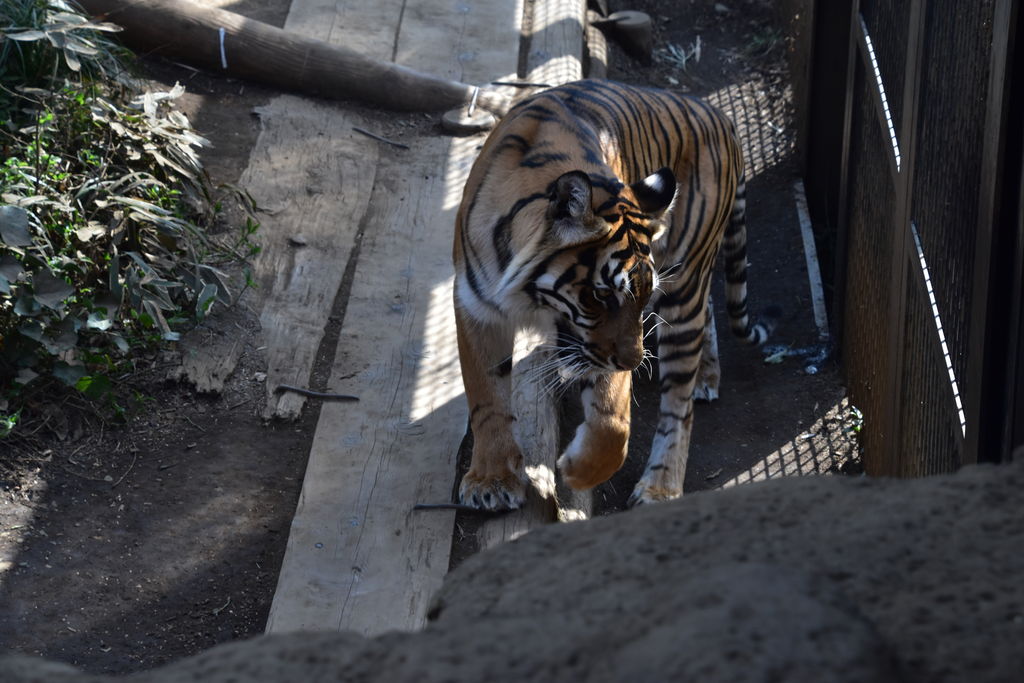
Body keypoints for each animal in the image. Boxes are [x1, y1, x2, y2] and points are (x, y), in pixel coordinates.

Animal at [452, 78, 770, 511]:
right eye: (598, 297)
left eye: (642, 297)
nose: (635, 361)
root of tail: (718, 113)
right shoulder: (476, 307)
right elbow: (486, 398)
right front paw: (492, 480)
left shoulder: (607, 345)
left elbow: (612, 421)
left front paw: (577, 472)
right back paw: (707, 374)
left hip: (685, 283)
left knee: (679, 405)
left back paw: (660, 486)